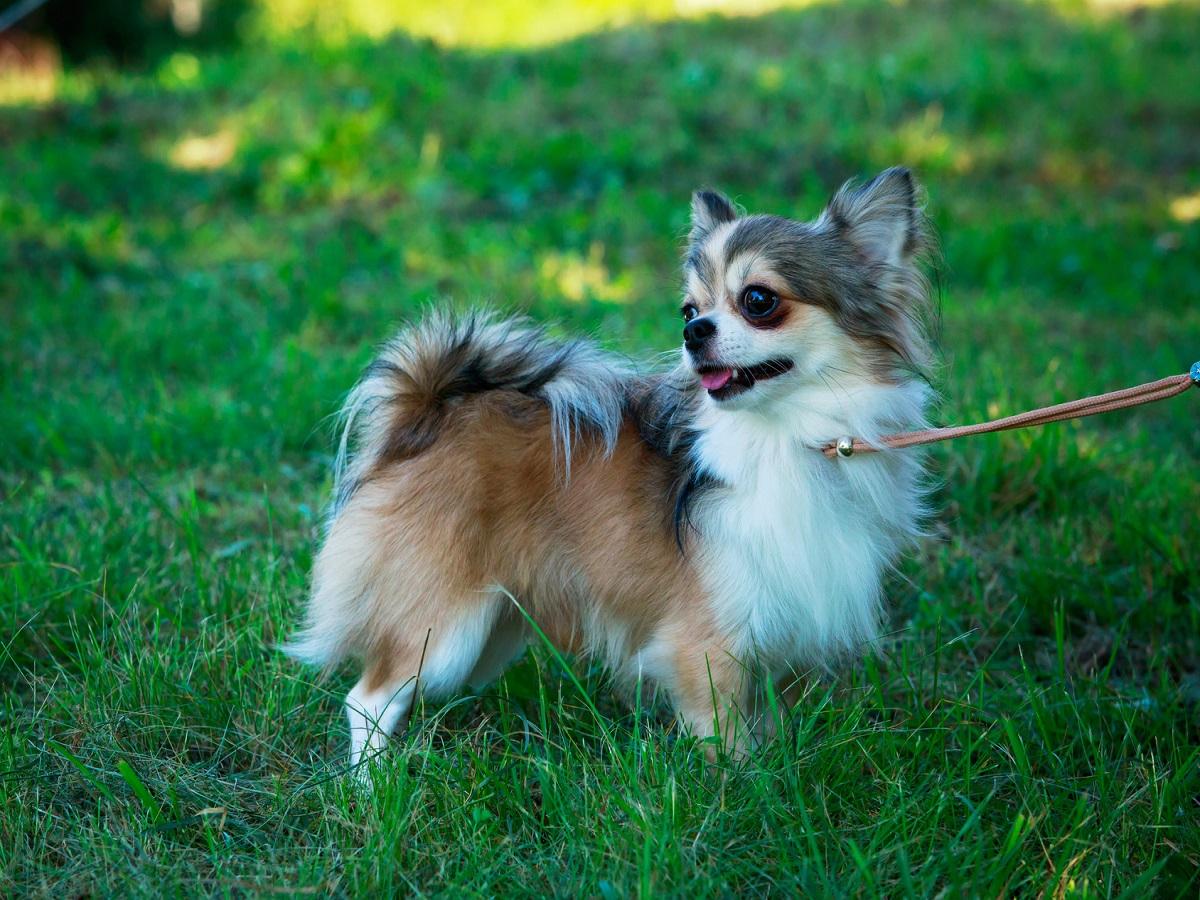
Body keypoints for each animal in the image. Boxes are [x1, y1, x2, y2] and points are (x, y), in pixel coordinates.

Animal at [285, 168, 931, 768]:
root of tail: (425, 417)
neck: (783, 437)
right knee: (368, 698)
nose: (693, 331)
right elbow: (727, 739)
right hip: (443, 625)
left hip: (493, 626)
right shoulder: (706, 644)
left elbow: (766, 719)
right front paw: (745, 790)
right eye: (688, 309)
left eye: (758, 300)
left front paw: (779, 764)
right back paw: (372, 787)